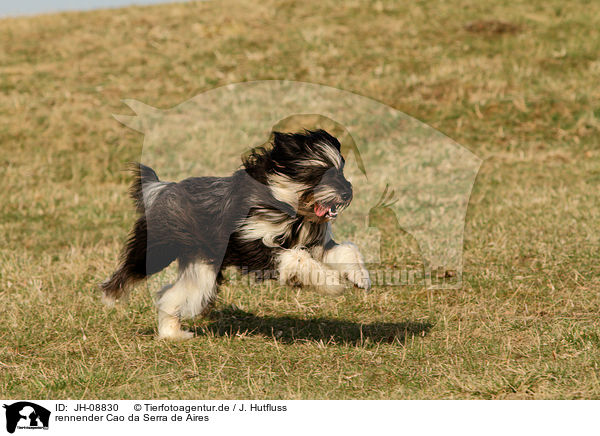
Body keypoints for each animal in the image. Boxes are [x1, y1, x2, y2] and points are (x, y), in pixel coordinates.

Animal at [102, 129, 370, 340]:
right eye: (321, 172)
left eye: (341, 171)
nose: (347, 193)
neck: (288, 206)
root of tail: (164, 188)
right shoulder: (251, 245)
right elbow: (296, 258)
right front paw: (333, 283)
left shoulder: (316, 245)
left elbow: (346, 250)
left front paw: (359, 277)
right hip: (159, 248)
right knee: (131, 271)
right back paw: (109, 297)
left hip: (202, 270)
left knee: (170, 295)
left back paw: (173, 334)